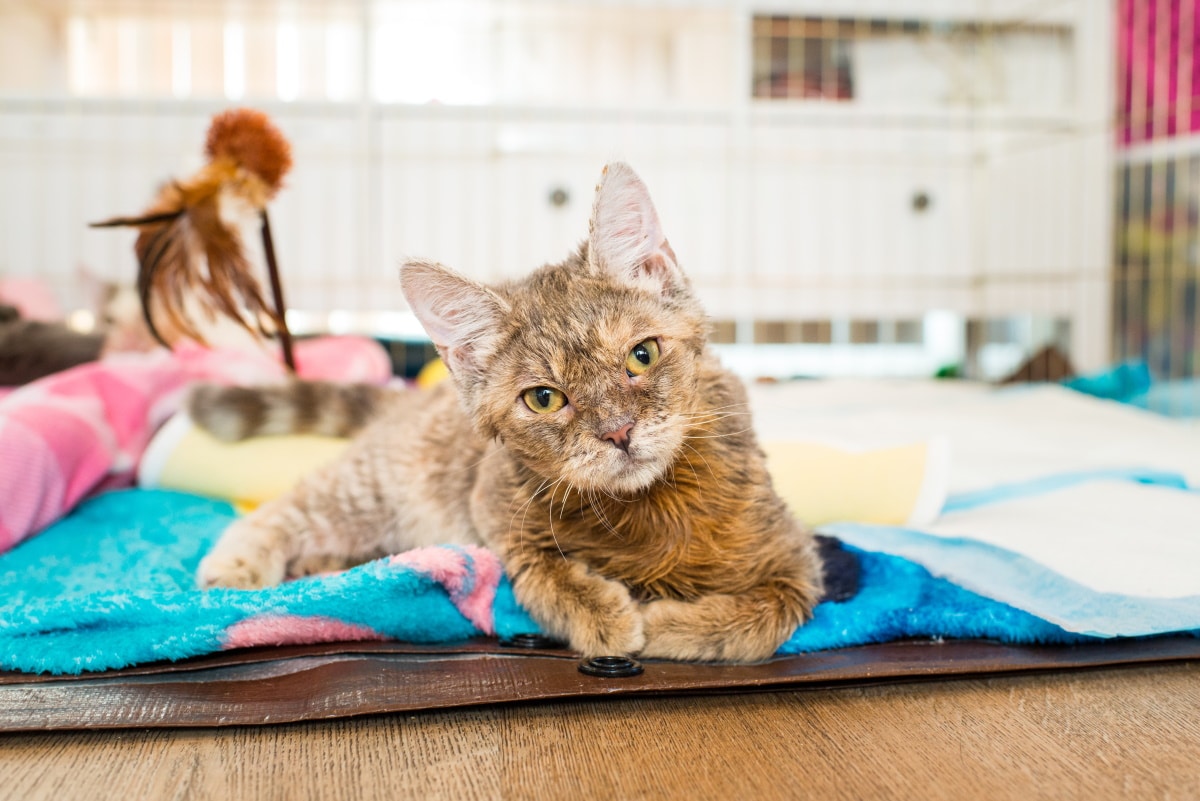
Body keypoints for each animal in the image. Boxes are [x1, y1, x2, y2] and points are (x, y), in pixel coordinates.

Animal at [194, 163, 825, 661]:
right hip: (375, 488)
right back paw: (237, 570)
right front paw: (609, 616)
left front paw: (669, 624)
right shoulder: (494, 503)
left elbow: (765, 618)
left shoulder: (795, 558)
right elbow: (542, 570)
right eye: (544, 398)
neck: (646, 506)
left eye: (641, 355)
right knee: (281, 511)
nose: (619, 432)